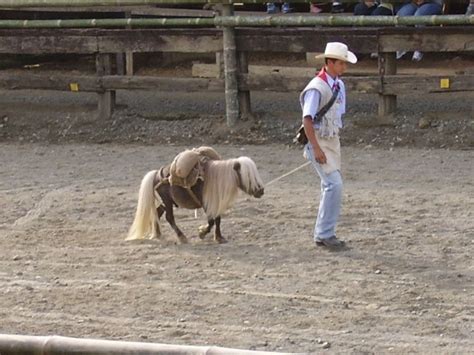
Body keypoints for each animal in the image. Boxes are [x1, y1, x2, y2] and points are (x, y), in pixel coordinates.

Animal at [126, 158, 264, 245]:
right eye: (248, 176)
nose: (261, 191)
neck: (216, 179)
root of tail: (156, 174)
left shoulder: (215, 203)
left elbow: (217, 220)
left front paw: (219, 237)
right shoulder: (207, 204)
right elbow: (211, 221)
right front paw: (202, 233)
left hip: (165, 202)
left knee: (157, 212)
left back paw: (157, 234)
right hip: (167, 201)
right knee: (169, 217)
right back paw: (181, 237)